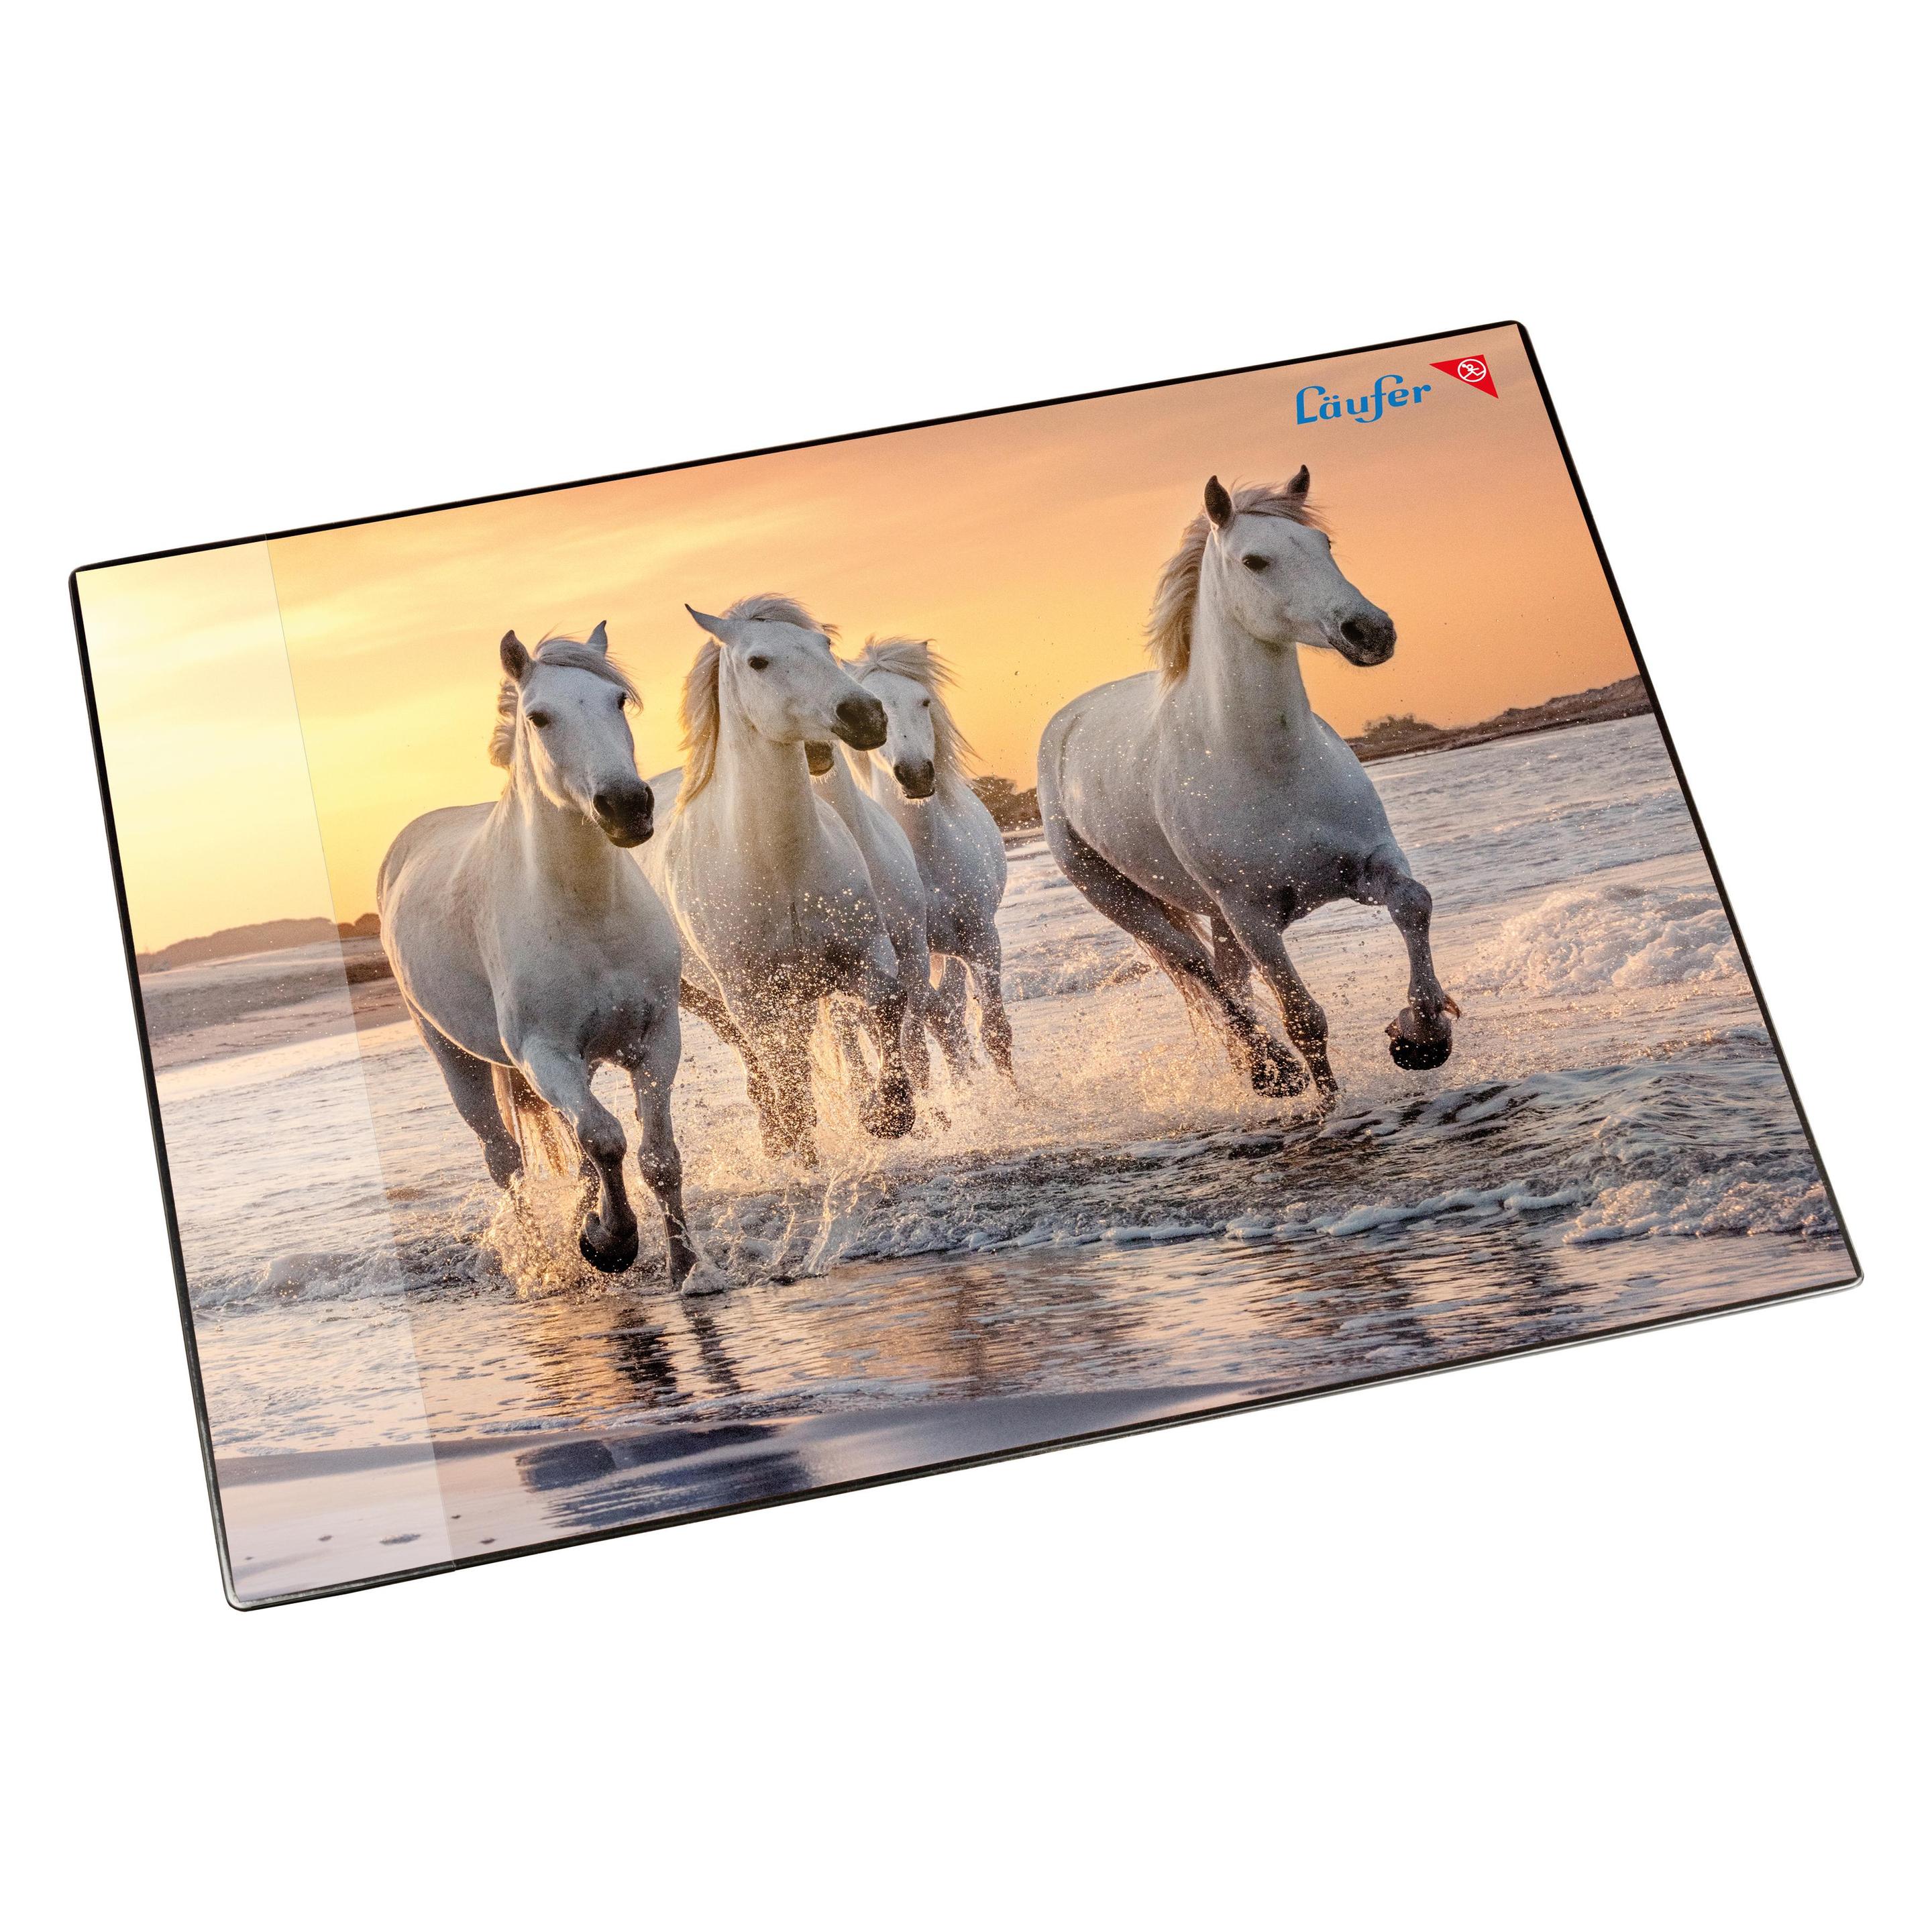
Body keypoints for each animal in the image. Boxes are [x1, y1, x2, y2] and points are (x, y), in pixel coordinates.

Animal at [378, 625, 714, 1288]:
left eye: (618, 700)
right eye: (538, 717)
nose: (627, 806)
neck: (587, 914)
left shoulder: (657, 1038)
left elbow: (658, 1157)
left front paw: (685, 1266)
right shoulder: (545, 1054)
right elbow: (606, 1139)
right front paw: (611, 1243)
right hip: (457, 1060)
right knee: (506, 1162)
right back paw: (539, 1262)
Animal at [638, 594, 916, 1163]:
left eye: (824, 644)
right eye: (758, 662)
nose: (865, 714)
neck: (780, 869)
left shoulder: (866, 953)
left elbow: (887, 1003)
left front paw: (888, 1113)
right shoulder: (750, 996)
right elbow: (784, 1073)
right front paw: (800, 1145)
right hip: (708, 1000)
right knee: (759, 1066)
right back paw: (778, 1138)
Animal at [850, 637, 1013, 1080]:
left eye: (924, 701)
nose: (916, 774)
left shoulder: (981, 940)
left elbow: (995, 1033)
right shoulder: (904, 961)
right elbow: (929, 1036)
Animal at [1036, 469, 1457, 1103]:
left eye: (1324, 545)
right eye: (1255, 561)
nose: (1371, 631)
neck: (1271, 768)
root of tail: (1065, 726)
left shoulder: (1369, 864)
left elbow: (1414, 903)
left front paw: (1422, 1035)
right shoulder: (1252, 916)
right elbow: (1304, 1019)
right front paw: (1327, 1100)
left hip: (1213, 914)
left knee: (1226, 979)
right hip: (1122, 899)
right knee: (1199, 970)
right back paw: (1269, 1069)